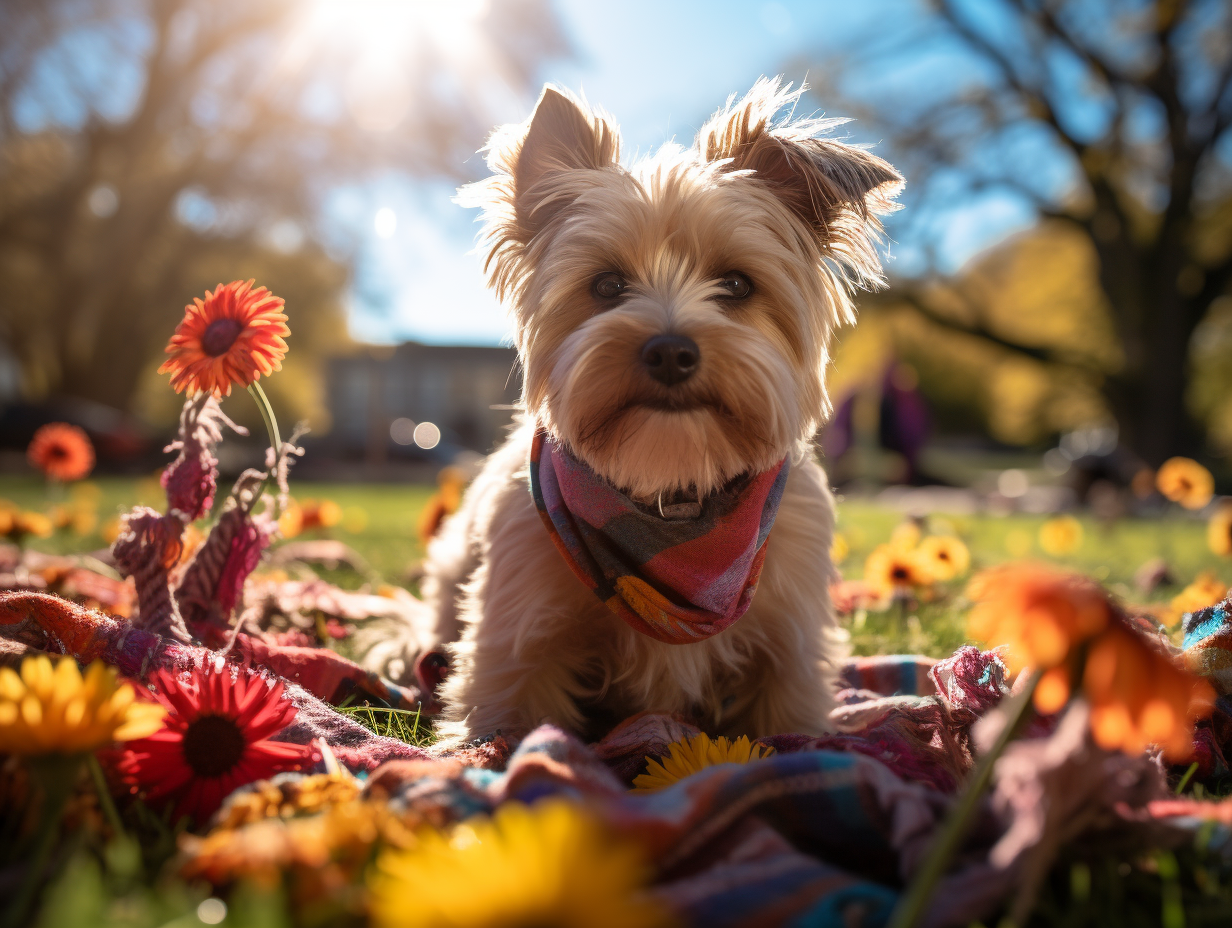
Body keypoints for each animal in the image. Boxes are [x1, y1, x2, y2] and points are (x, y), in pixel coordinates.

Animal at [369, 79, 901, 744]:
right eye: (605, 286)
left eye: (736, 284)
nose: (670, 350)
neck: (671, 499)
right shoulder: (517, 639)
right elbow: (501, 729)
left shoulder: (790, 647)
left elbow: (785, 726)